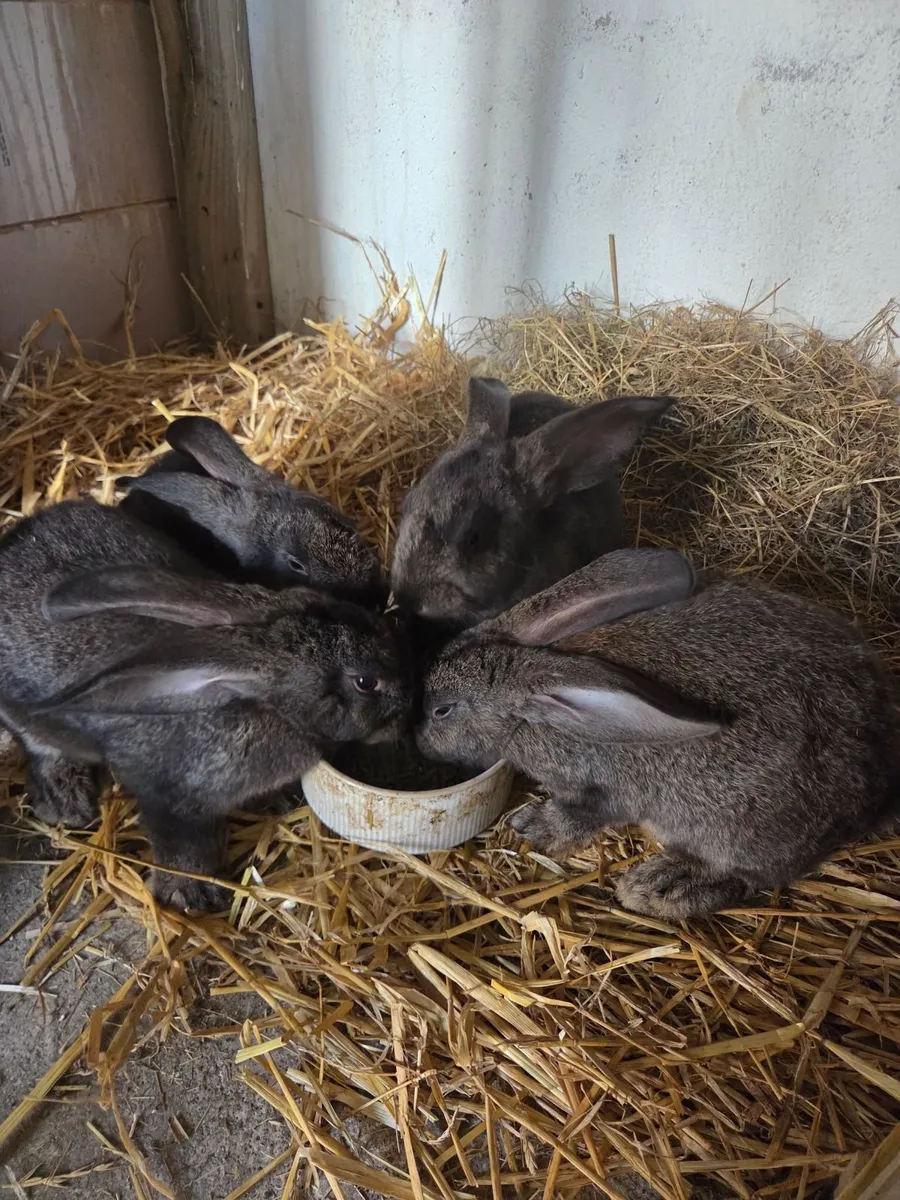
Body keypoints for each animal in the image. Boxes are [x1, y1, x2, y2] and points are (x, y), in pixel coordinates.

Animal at [0, 499, 410, 910]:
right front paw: (189, 894)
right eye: (365, 682)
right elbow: (184, 845)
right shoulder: (166, 795)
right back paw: (65, 801)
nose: (409, 705)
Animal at [415, 549, 900, 920]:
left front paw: (531, 827)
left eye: (442, 710)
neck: (532, 711)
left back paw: (658, 888)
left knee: (747, 877)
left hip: (731, 834)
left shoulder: (599, 791)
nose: (419, 739)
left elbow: (580, 815)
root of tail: (873, 790)